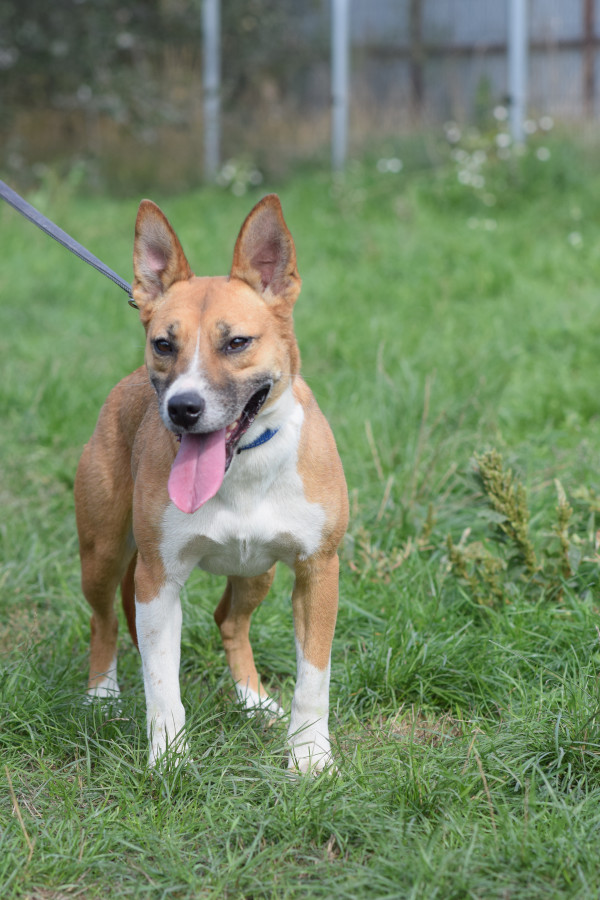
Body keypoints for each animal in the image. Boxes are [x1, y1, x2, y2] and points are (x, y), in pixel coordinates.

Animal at [74, 194, 348, 773]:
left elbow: (314, 678)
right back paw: (101, 695)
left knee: (230, 621)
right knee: (103, 619)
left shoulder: (319, 571)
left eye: (237, 342)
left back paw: (254, 701)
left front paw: (309, 755)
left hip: (257, 571)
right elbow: (161, 685)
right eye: (163, 343)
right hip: (103, 552)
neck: (241, 467)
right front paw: (169, 759)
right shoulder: (157, 580)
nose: (183, 407)